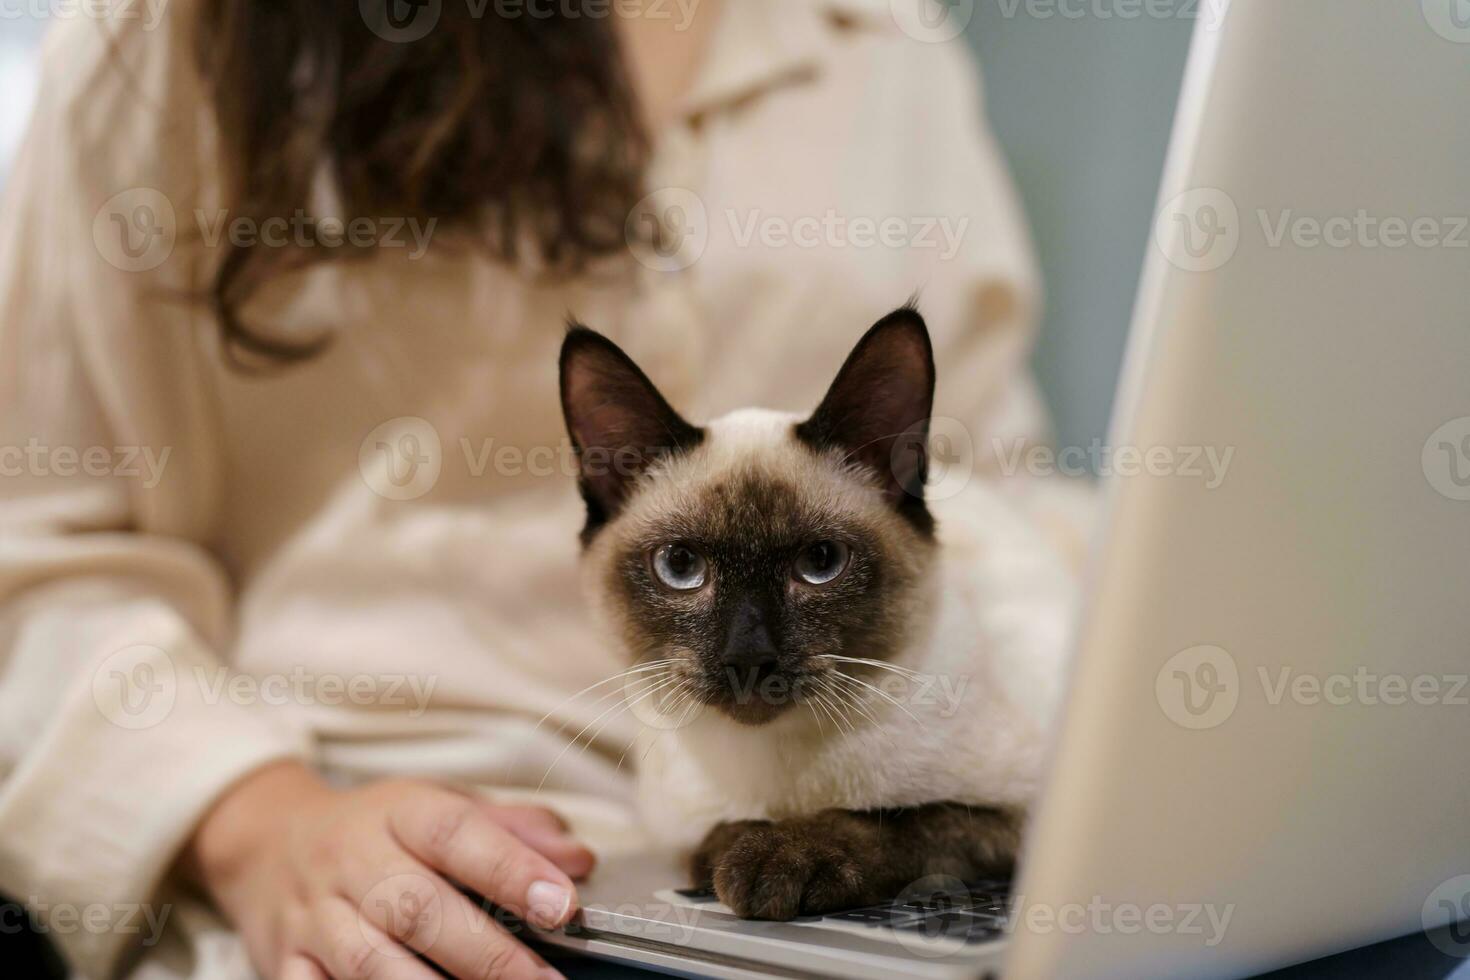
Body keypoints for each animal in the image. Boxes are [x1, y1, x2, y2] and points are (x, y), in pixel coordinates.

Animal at [555, 310, 1076, 922]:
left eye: (820, 563)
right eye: (680, 566)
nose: (748, 657)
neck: (779, 782)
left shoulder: (1023, 811)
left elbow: (903, 819)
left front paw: (773, 859)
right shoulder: (678, 827)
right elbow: (710, 841)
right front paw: (731, 853)